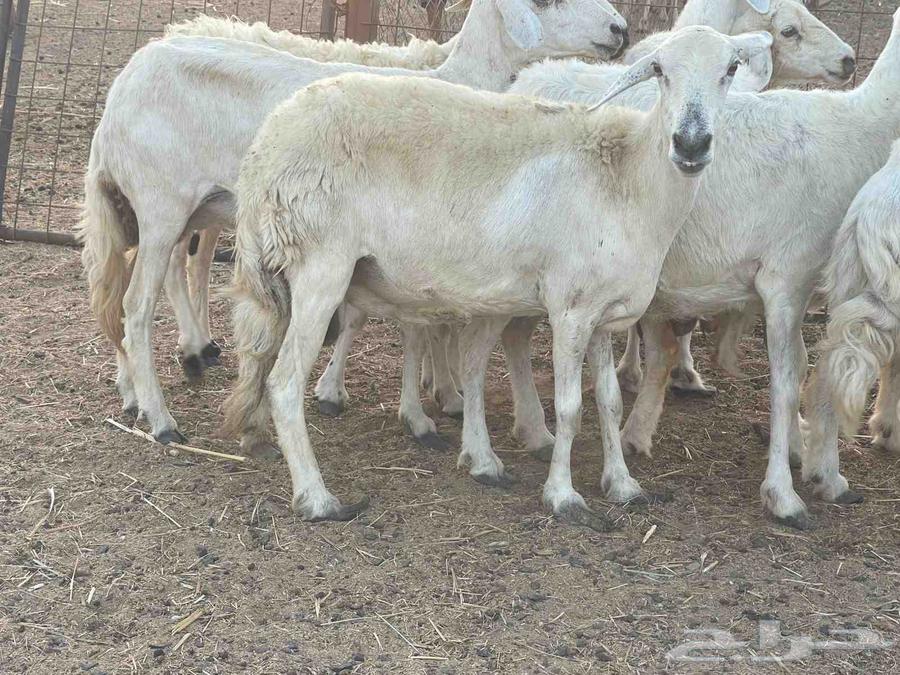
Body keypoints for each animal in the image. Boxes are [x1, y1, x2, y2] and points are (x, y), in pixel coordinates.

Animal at [78, 0, 629, 447]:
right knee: (136, 304)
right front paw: (431, 402)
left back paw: (143, 383)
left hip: (170, 208)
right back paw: (161, 417)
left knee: (128, 287)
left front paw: (441, 391)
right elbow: (426, 323)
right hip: (160, 204)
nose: (620, 28)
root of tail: (122, 88)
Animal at [223, 27, 773, 522]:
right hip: (321, 264)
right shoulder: (571, 308)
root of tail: (265, 149)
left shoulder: (604, 314)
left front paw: (622, 484)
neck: (629, 179)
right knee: (284, 383)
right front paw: (563, 496)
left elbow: (610, 403)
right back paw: (317, 498)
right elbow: (570, 408)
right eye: (660, 70)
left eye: (730, 69)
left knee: (261, 359)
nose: (691, 143)